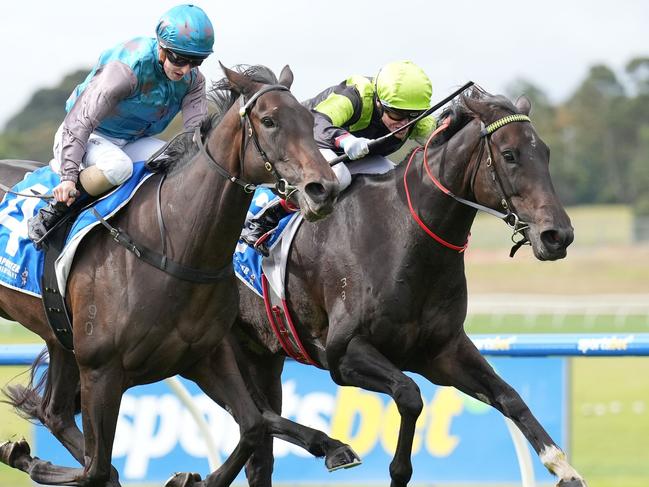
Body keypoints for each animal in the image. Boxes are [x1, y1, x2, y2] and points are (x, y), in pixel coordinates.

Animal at [229, 87, 584, 487]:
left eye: (546, 153)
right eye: (509, 155)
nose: (558, 235)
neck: (402, 238)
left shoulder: (444, 351)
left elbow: (510, 396)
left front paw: (563, 467)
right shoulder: (343, 354)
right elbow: (410, 395)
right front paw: (397, 470)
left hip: (264, 353)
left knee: (259, 442)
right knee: (255, 416)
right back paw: (331, 447)